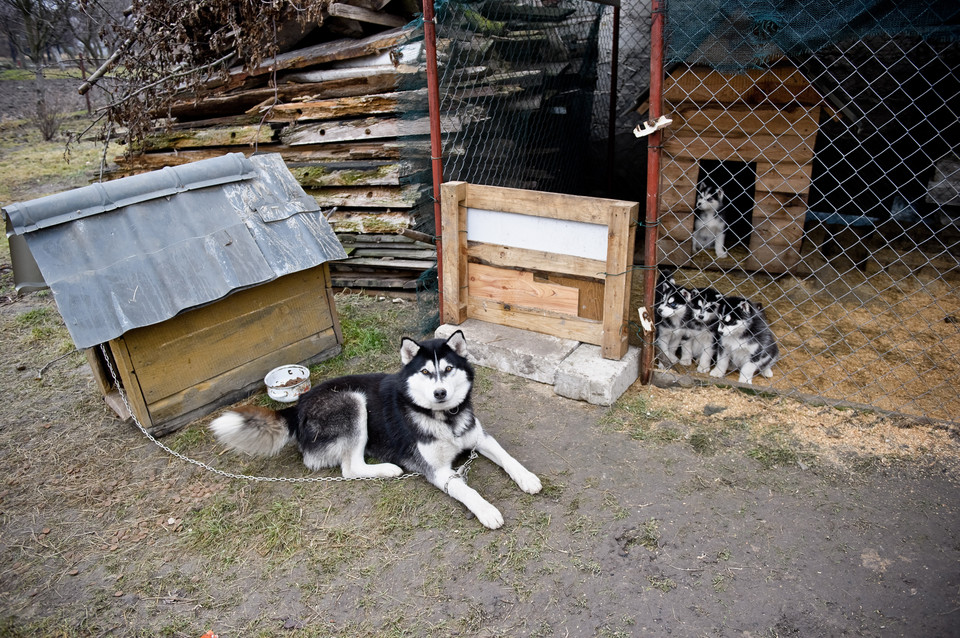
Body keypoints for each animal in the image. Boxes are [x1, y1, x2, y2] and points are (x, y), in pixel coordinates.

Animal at [207, 332, 544, 532]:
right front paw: (486, 509)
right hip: (353, 401)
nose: (440, 393)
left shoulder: (478, 437)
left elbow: (507, 457)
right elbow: (465, 489)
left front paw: (527, 477)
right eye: (425, 371)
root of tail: (298, 404)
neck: (444, 418)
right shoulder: (437, 470)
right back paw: (388, 469)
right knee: (350, 469)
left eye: (448, 369)